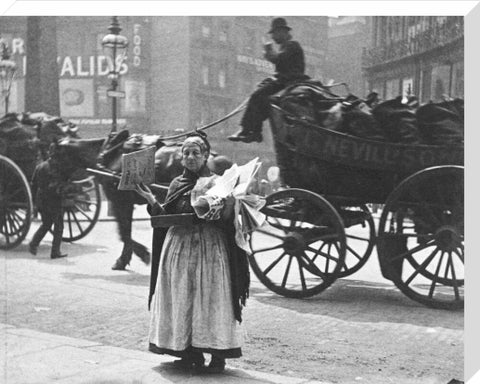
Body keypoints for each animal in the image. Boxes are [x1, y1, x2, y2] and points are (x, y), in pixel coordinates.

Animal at [55, 129, 232, 270]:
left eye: (52, 155)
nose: (55, 185)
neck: (108, 155)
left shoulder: (120, 200)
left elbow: (124, 231)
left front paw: (136, 256)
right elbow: (125, 230)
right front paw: (127, 257)